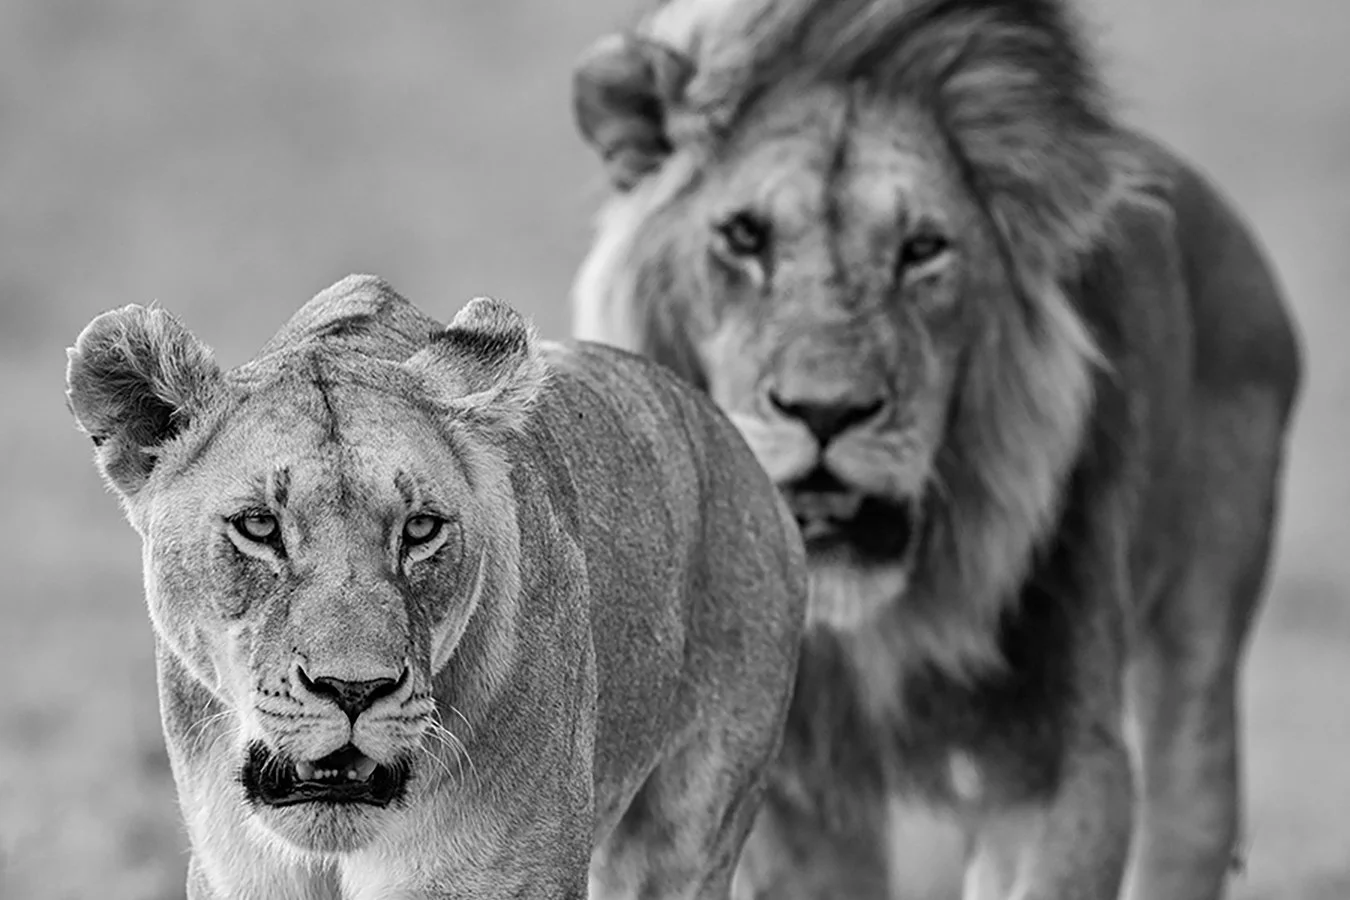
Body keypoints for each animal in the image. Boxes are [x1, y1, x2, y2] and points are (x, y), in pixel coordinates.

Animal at [568, 0, 1304, 897]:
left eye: (923, 248)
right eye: (743, 237)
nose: (825, 410)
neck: (881, 622)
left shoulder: (1057, 761)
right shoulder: (792, 788)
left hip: (1197, 664)